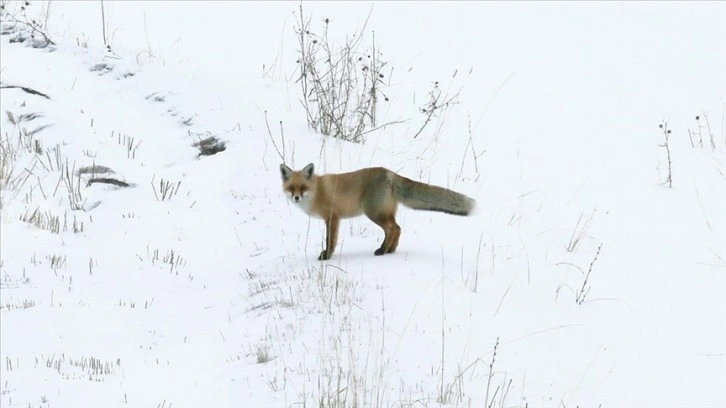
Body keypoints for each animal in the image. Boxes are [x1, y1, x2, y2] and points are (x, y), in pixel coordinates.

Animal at [280, 163, 478, 262]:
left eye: (303, 187)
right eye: (291, 188)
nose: (296, 197)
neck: (317, 191)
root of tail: (390, 173)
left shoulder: (332, 217)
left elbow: (330, 241)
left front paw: (327, 256)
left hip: (374, 213)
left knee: (393, 228)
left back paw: (382, 250)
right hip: (383, 213)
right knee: (398, 228)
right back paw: (390, 250)